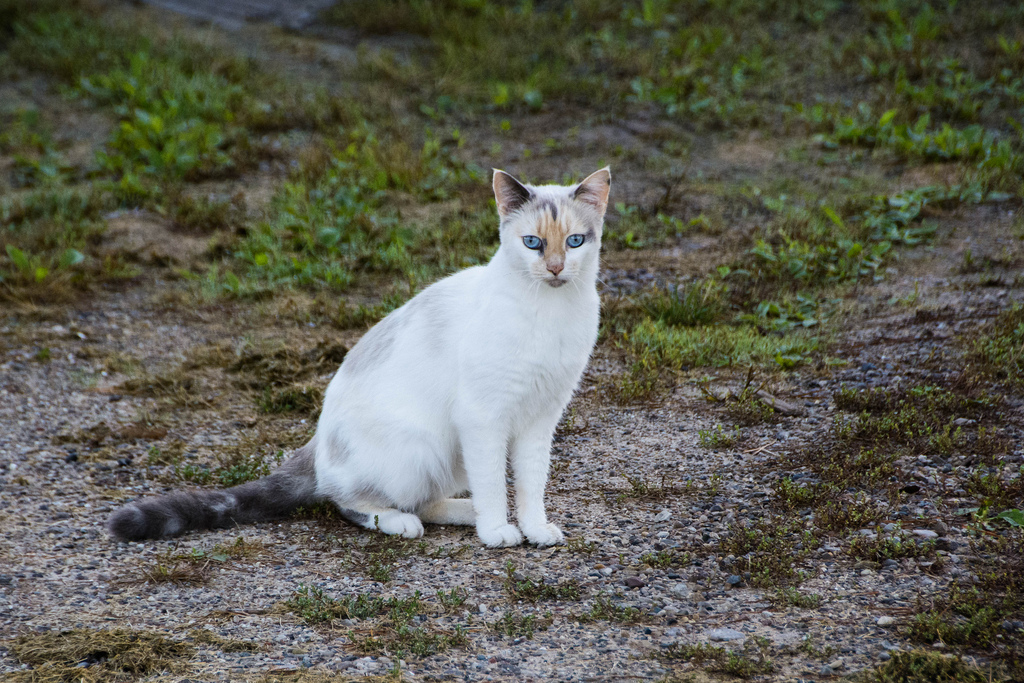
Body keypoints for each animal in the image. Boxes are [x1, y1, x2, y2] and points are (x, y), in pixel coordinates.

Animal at [109, 166, 610, 548]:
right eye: (532, 243)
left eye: (574, 242)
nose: (555, 269)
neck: (549, 315)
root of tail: (318, 439)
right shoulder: (484, 419)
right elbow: (492, 483)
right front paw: (496, 532)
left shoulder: (541, 419)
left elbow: (530, 485)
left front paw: (532, 529)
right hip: (422, 447)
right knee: (349, 501)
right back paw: (408, 522)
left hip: (447, 457)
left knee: (424, 501)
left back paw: (465, 512)